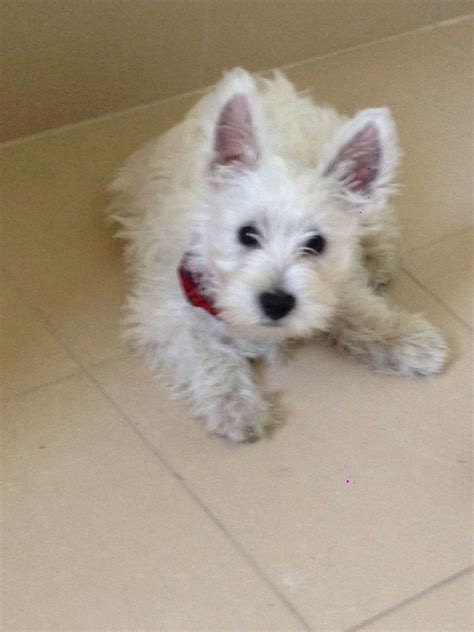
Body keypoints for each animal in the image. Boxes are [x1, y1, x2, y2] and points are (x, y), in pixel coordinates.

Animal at [109, 69, 450, 442]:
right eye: (246, 234)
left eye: (316, 243)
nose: (276, 302)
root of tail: (270, 86)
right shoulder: (166, 315)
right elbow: (209, 355)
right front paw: (234, 406)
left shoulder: (331, 285)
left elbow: (359, 310)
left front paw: (408, 339)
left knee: (378, 219)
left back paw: (379, 256)